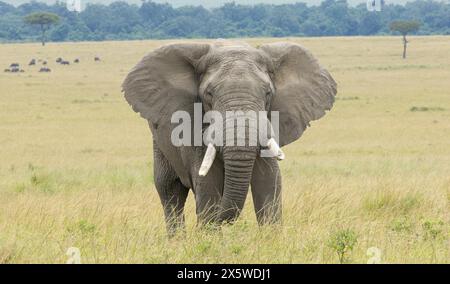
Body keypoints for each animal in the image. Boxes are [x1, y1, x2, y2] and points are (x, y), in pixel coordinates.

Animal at [121, 40, 336, 235]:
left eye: (268, 93)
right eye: (209, 94)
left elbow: (269, 182)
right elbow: (208, 185)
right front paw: (209, 239)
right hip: (159, 140)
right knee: (169, 190)